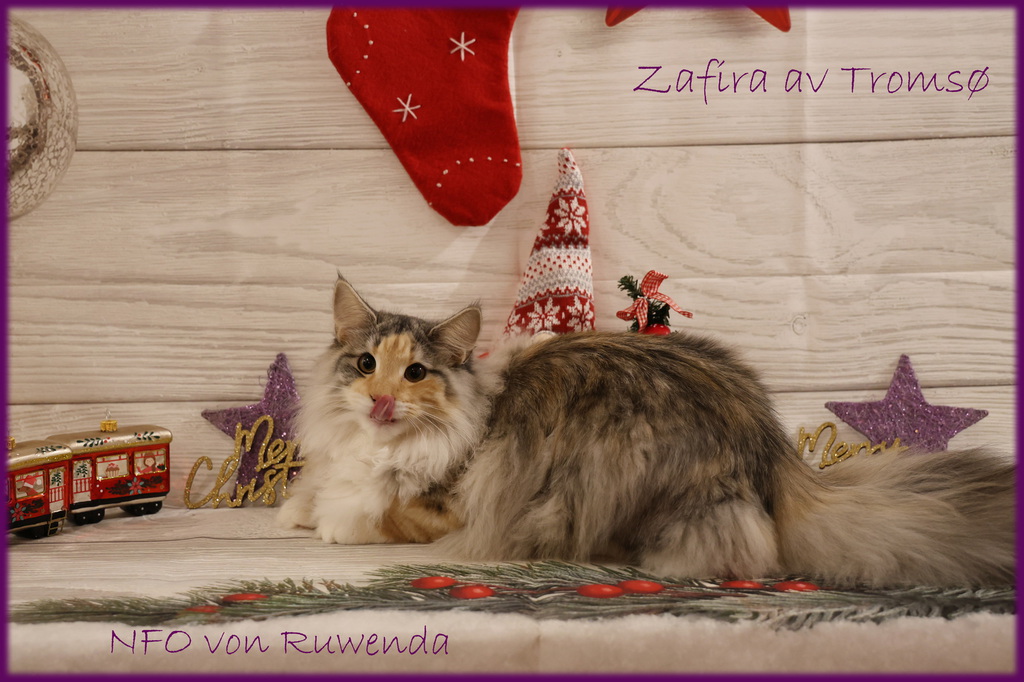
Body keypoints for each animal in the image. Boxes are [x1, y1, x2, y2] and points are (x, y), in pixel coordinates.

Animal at [278, 276, 1016, 587]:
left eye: (417, 373)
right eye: (366, 364)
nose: (379, 400)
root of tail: (770, 444)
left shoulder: (451, 501)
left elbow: (376, 511)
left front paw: (333, 521)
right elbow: (316, 492)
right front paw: (297, 508)